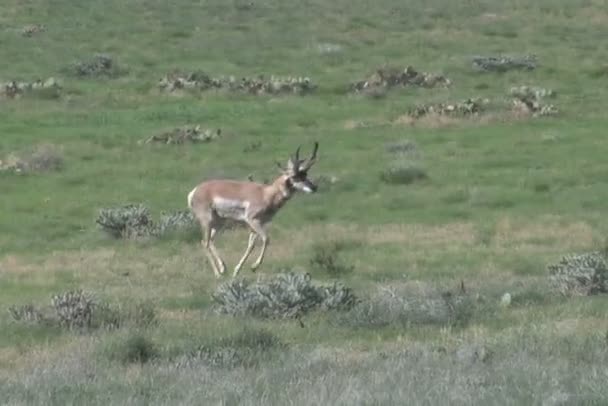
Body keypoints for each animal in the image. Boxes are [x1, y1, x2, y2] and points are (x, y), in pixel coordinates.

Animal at [188, 141, 320, 278]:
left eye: (305, 174)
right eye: (294, 176)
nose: (314, 187)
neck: (265, 193)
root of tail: (195, 190)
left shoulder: (257, 225)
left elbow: (250, 246)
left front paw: (236, 271)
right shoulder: (253, 220)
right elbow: (266, 239)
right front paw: (254, 267)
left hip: (219, 222)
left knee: (210, 241)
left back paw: (223, 268)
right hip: (208, 221)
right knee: (205, 242)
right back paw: (218, 274)